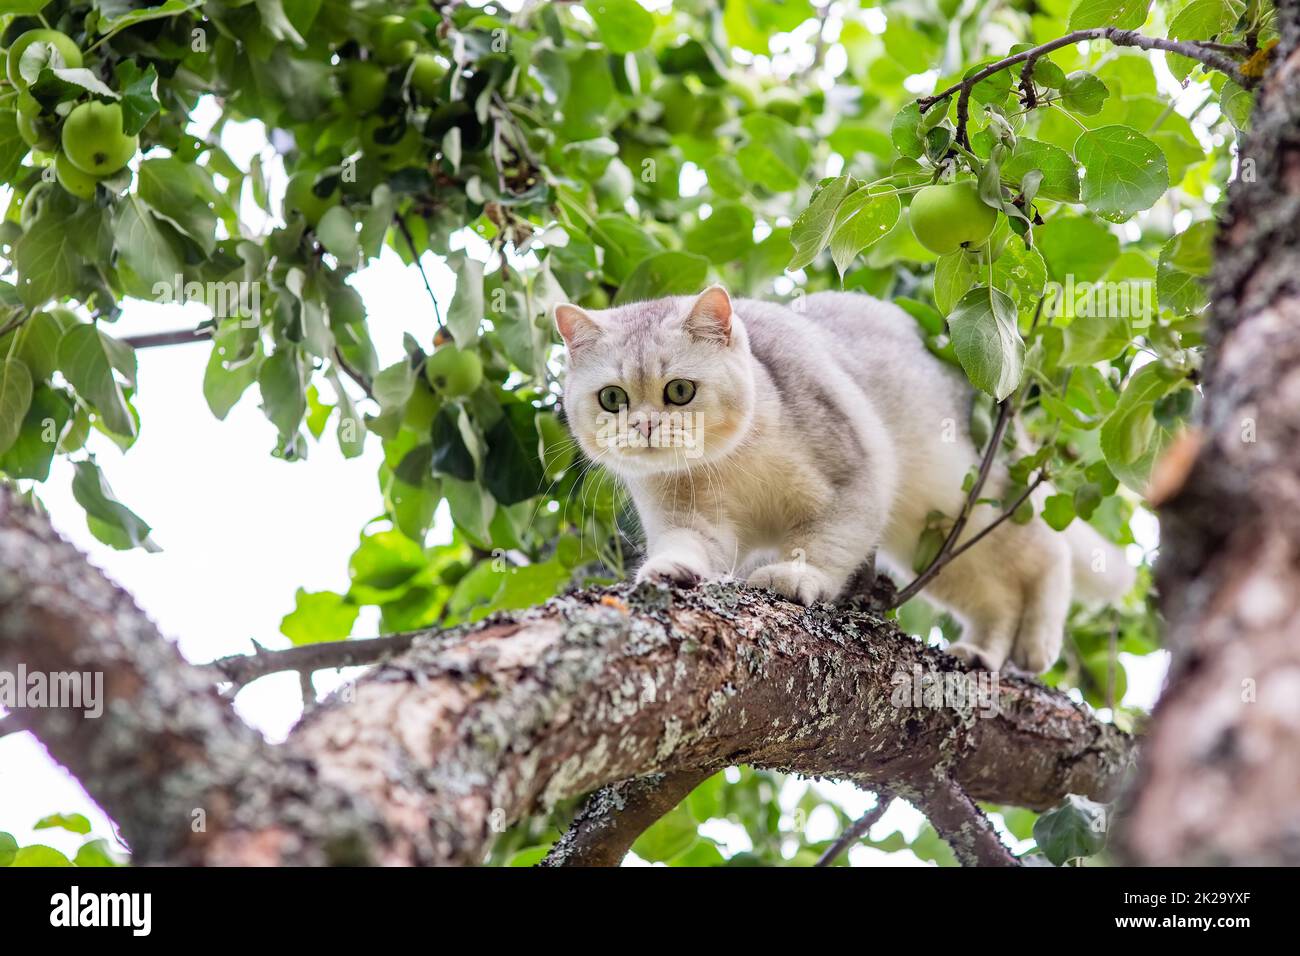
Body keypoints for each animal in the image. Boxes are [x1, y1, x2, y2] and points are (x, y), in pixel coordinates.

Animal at [553, 286, 1133, 671]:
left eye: (679, 391)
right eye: (612, 398)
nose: (645, 425)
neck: (728, 465)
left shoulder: (858, 472)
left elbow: (822, 542)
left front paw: (792, 576)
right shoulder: (689, 517)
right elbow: (688, 545)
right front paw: (668, 571)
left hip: (970, 498)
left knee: (1047, 552)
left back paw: (1037, 644)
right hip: (933, 543)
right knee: (999, 600)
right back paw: (980, 654)